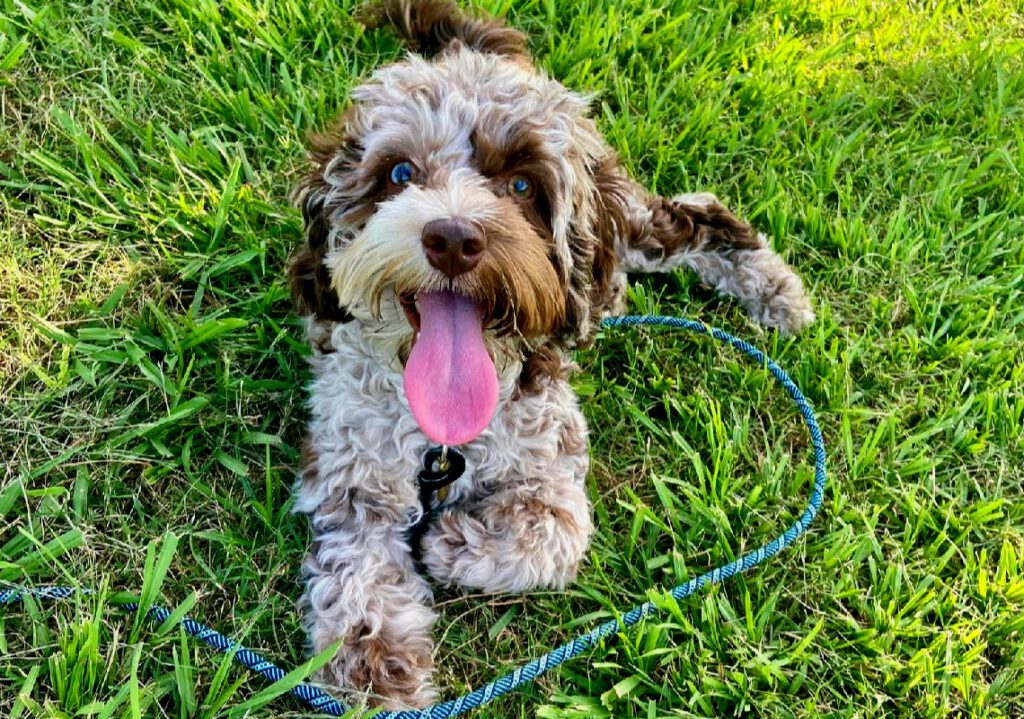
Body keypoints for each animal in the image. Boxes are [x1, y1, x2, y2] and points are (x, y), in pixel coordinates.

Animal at [288, 0, 815, 708]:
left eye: (521, 184)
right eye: (399, 173)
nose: (452, 238)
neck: (442, 439)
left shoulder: (552, 461)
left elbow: (554, 534)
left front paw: (449, 545)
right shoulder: (349, 474)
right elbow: (357, 567)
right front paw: (375, 666)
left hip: (626, 223)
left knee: (700, 215)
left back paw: (777, 292)